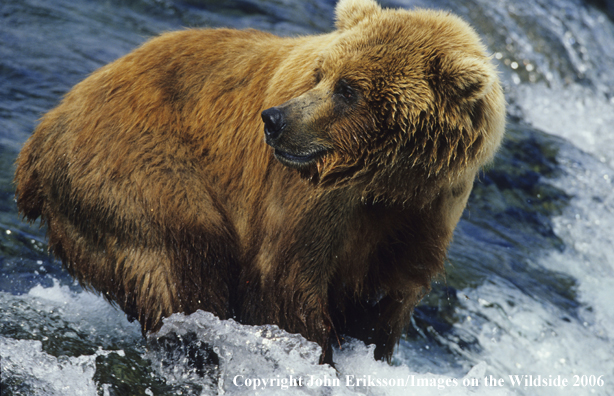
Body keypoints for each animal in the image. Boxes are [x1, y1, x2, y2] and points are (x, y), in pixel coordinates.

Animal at [14, 0, 506, 364]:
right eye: (320, 74)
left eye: (348, 89)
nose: (274, 119)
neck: (389, 179)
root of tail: (45, 128)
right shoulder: (310, 200)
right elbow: (287, 282)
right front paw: (317, 358)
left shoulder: (429, 208)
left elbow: (389, 300)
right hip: (132, 160)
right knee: (185, 259)